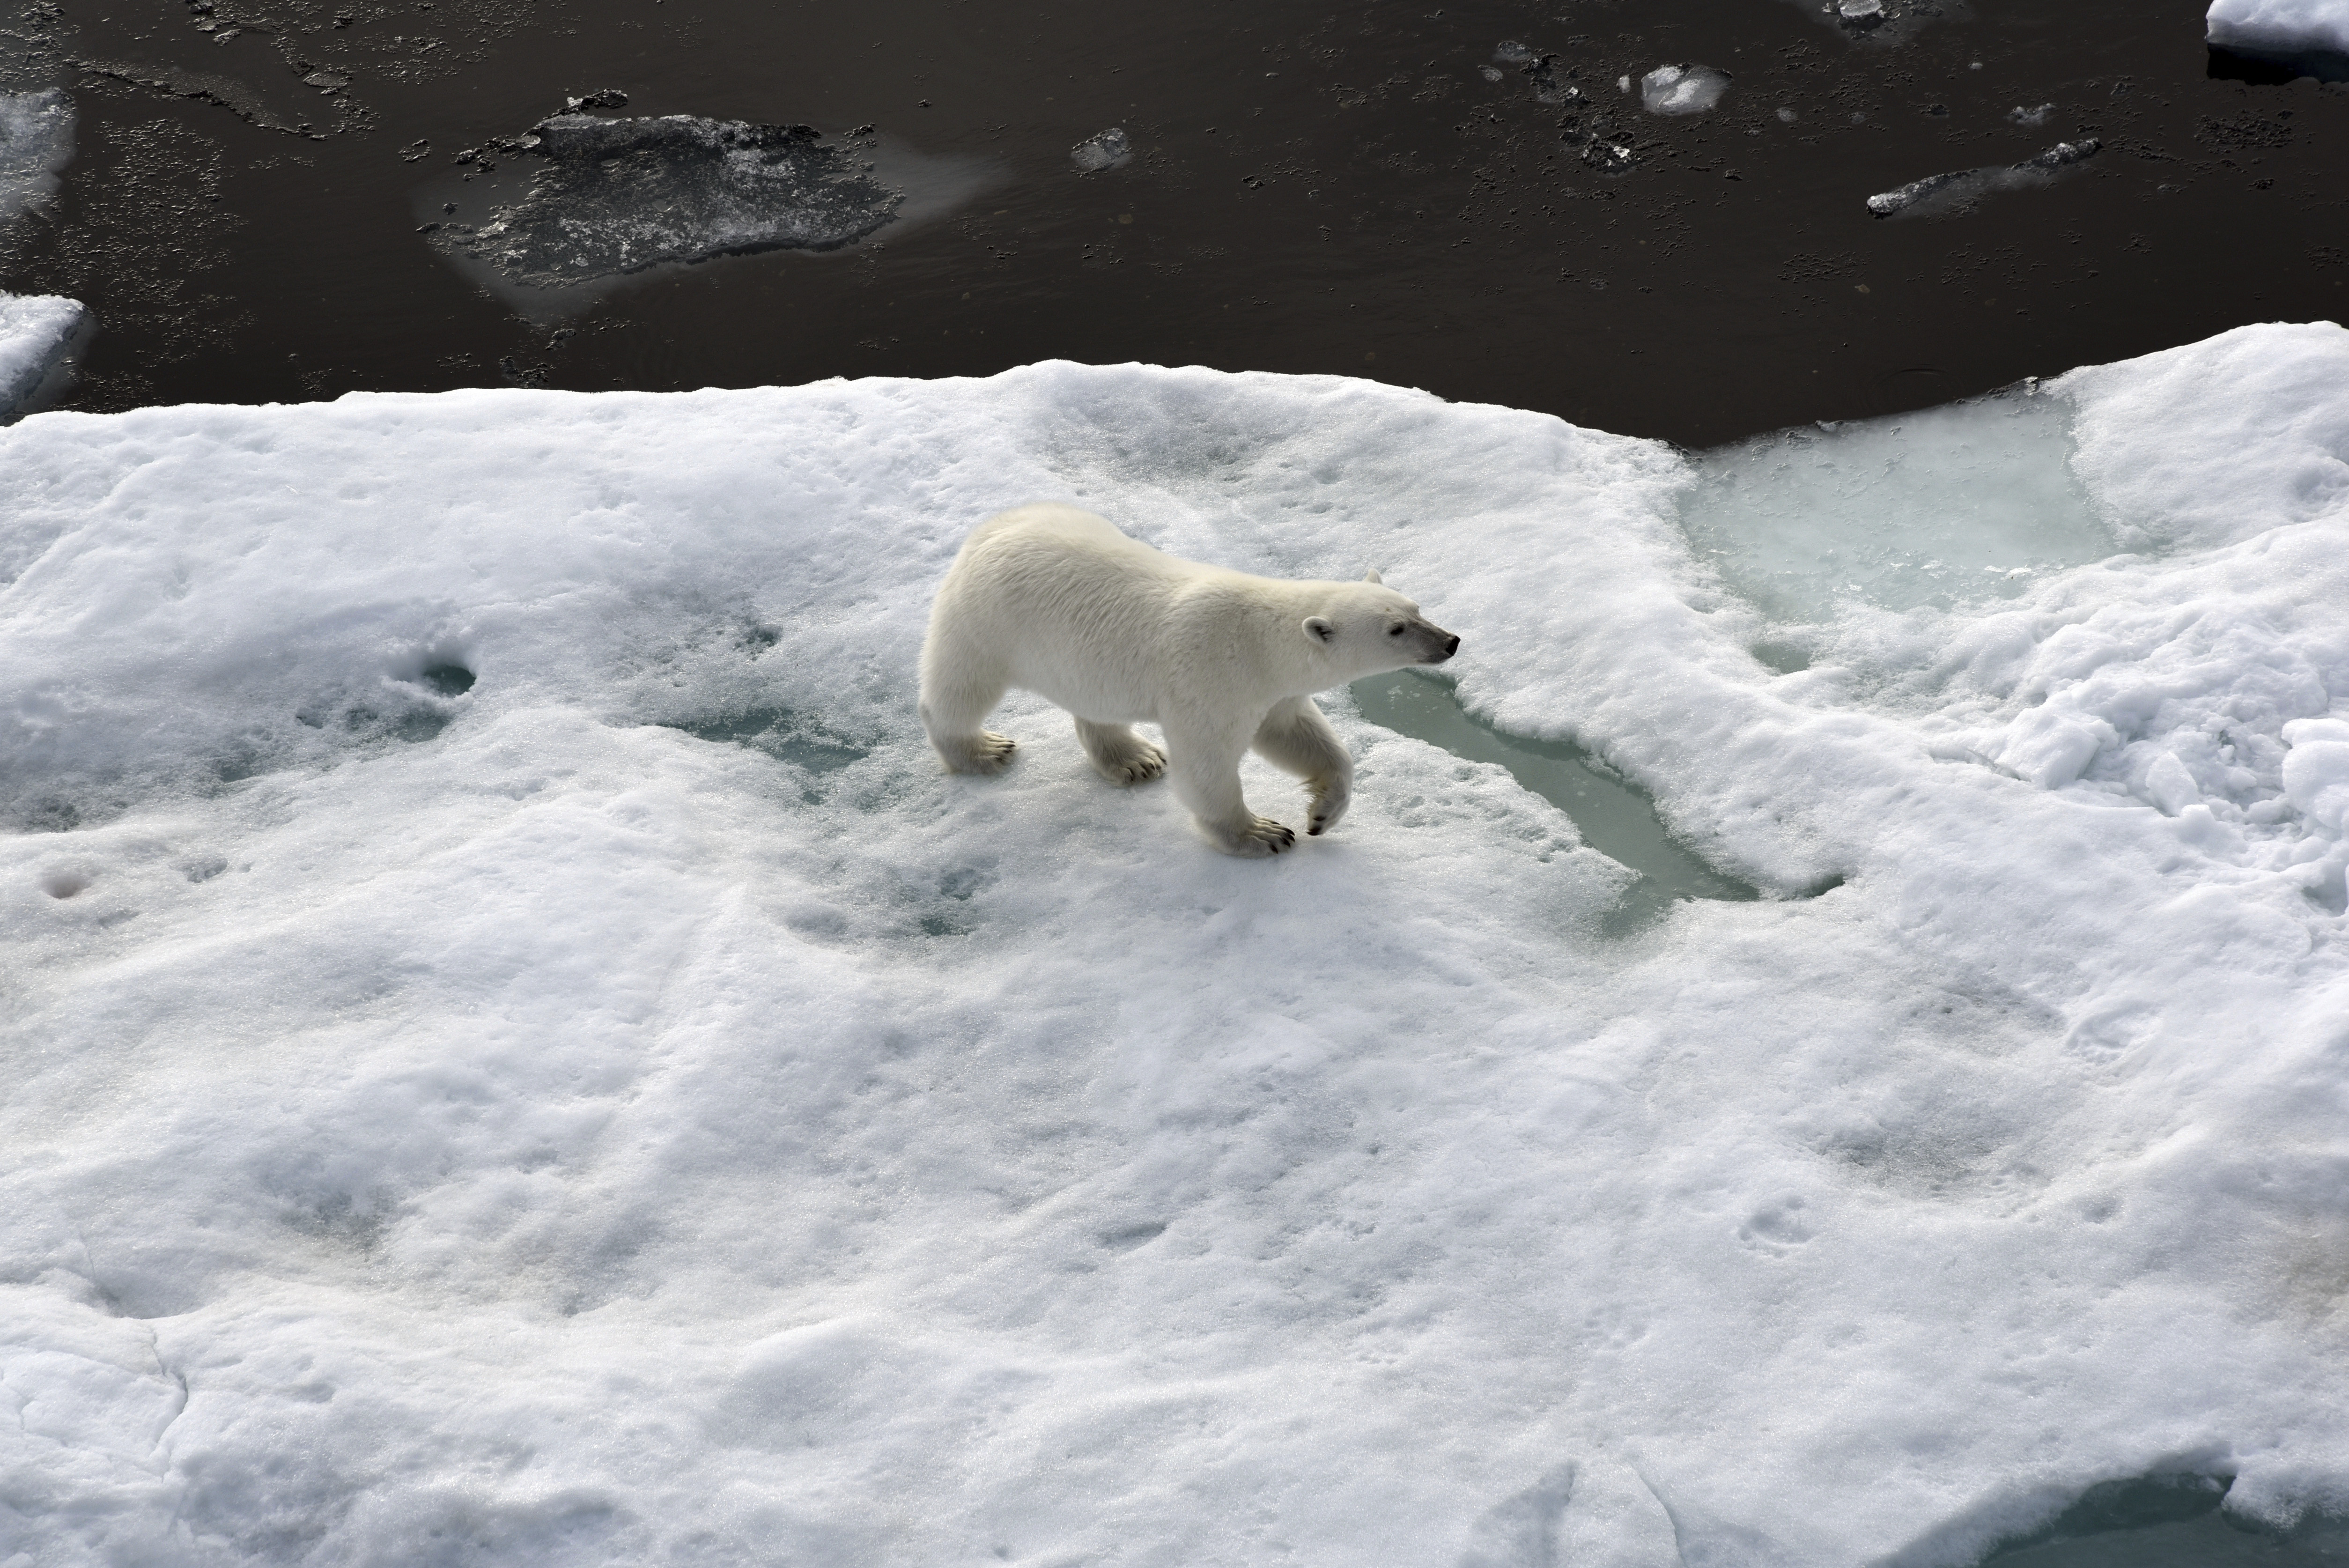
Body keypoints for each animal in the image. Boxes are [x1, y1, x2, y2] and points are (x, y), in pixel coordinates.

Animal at [921, 505, 1456, 860]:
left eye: (1416, 609)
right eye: (1396, 630)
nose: (1451, 641)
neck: (1258, 638)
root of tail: (994, 525)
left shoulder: (1271, 690)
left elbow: (1299, 736)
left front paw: (1323, 814)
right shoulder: (1210, 674)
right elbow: (1207, 764)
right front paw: (1262, 833)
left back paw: (1135, 760)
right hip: (989, 620)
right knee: (961, 685)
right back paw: (979, 750)